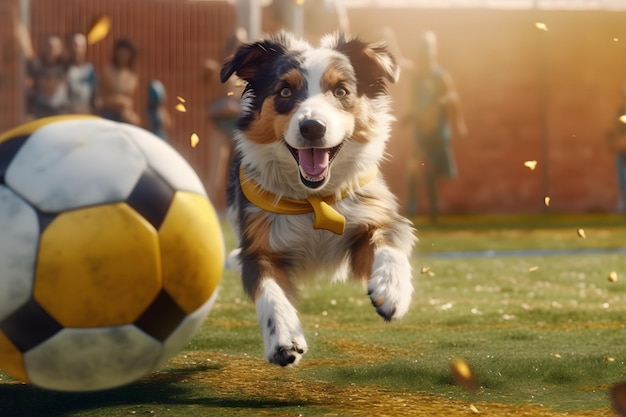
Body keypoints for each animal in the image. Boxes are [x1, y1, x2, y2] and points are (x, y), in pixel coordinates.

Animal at [219, 31, 414, 364]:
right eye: (285, 90)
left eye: (341, 90)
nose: (312, 127)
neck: (313, 199)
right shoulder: (258, 245)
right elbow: (269, 290)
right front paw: (283, 338)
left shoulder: (371, 213)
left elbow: (388, 238)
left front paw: (391, 289)